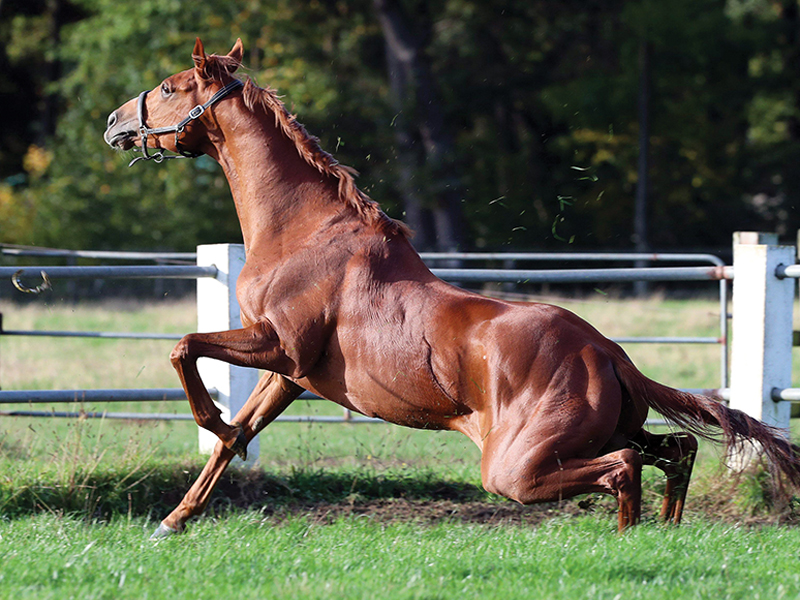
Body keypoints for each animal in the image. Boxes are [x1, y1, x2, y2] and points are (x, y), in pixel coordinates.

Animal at [104, 39, 800, 538]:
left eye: (167, 87)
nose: (112, 121)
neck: (301, 232)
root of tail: (609, 354)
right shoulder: (291, 375)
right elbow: (234, 438)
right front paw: (174, 518)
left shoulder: (278, 347)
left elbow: (185, 347)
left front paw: (210, 420)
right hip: (607, 433)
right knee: (676, 449)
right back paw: (663, 531)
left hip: (519, 466)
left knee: (627, 469)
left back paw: (632, 539)